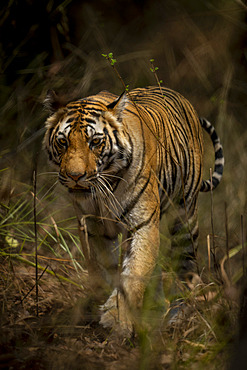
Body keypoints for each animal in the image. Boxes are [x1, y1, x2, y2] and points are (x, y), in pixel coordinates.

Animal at [44, 86, 224, 336]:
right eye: (63, 142)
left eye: (95, 142)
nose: (75, 176)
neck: (105, 187)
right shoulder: (92, 227)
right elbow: (105, 270)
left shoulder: (143, 224)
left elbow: (134, 271)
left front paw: (117, 318)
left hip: (185, 218)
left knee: (186, 266)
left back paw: (178, 314)